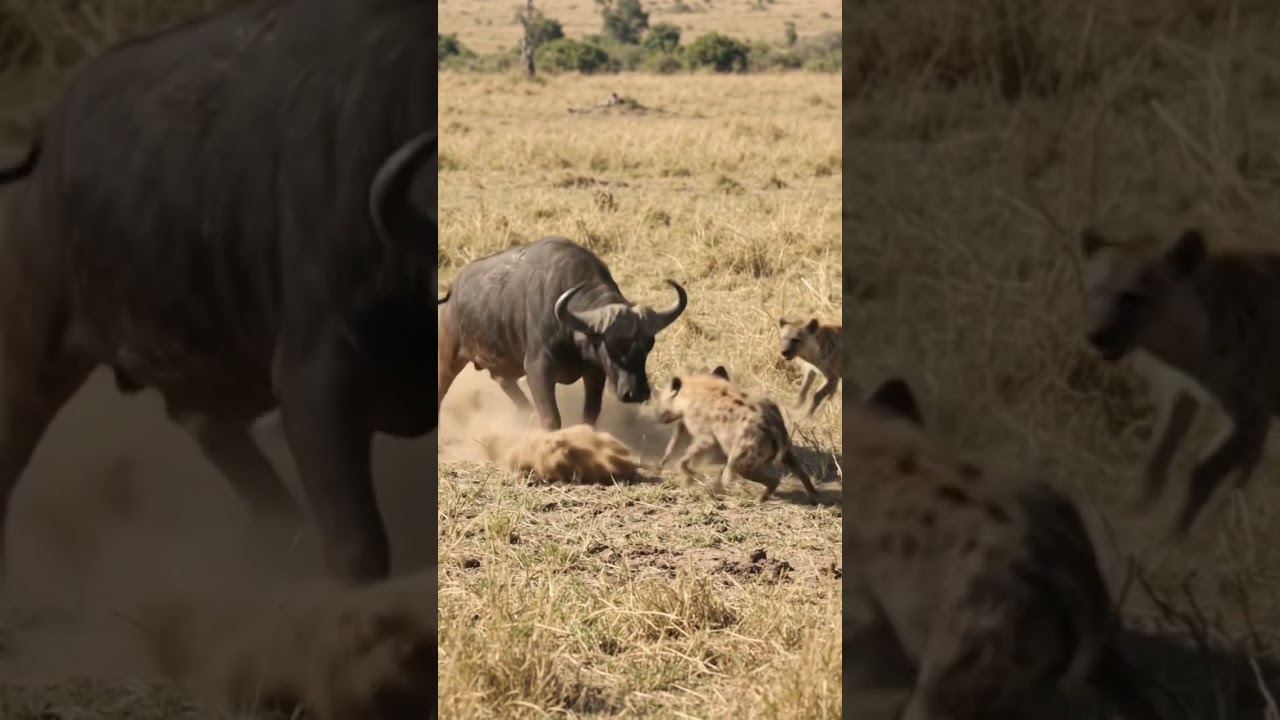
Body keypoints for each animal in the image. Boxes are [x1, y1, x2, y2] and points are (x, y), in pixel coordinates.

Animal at [437, 237, 688, 430]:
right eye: (613, 345)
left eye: (648, 344)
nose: (636, 393)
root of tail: (452, 294)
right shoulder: (538, 369)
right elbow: (551, 418)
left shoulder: (594, 371)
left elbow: (590, 414)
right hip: (448, 358)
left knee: (502, 380)